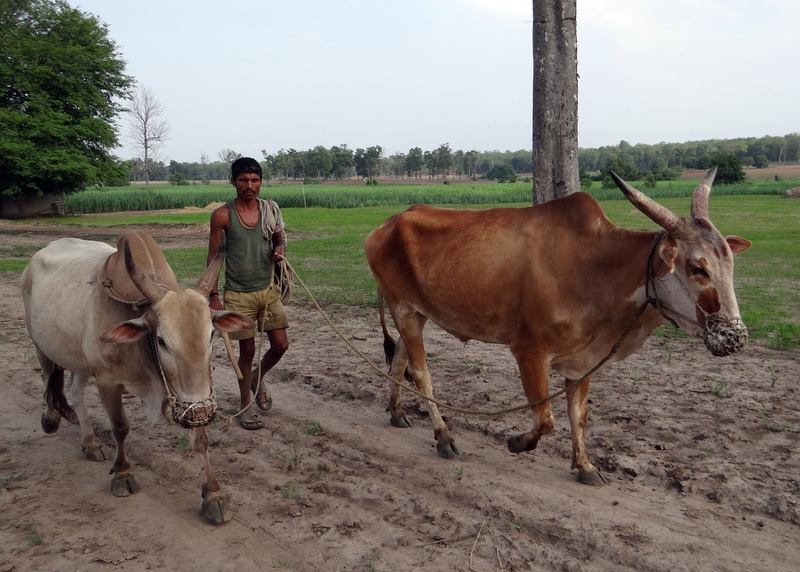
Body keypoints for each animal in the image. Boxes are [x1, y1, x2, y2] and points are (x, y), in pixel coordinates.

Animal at [21, 231, 255, 523]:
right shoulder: (107, 382)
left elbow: (200, 438)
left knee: (75, 392)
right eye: (161, 340)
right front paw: (122, 474)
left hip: (80, 361)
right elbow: (120, 427)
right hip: (40, 345)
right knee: (48, 379)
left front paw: (214, 495)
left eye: (211, 334)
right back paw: (51, 419)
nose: (206, 411)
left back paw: (90, 443)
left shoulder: (189, 397)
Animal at [364, 168, 751, 485]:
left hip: (417, 313)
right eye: (697, 268)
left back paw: (397, 412)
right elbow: (546, 419)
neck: (595, 268)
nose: (734, 337)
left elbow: (577, 415)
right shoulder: (529, 353)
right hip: (404, 309)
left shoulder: (583, 361)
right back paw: (444, 437)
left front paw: (585, 466)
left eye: (730, 265)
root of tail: (389, 222)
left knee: (399, 358)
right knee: (421, 372)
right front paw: (516, 442)